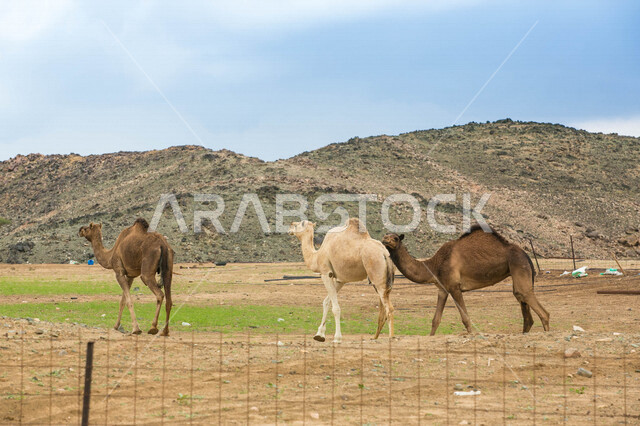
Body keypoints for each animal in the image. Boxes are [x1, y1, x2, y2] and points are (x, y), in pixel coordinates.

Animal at [382, 225, 549, 335]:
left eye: (395, 238)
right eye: (385, 236)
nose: (385, 240)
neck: (434, 265)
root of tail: (526, 255)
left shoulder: (455, 287)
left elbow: (465, 318)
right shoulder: (442, 289)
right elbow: (435, 320)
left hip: (519, 265)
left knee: (538, 308)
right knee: (525, 311)